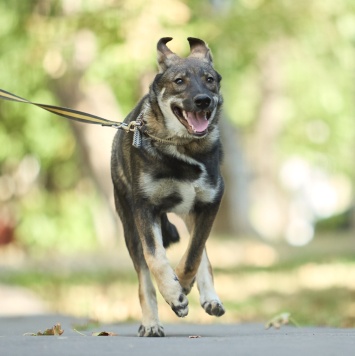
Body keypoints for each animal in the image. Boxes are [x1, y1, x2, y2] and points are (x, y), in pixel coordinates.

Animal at [111, 36, 225, 336]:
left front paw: (183, 284)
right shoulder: (144, 208)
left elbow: (195, 253)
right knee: (144, 278)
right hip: (129, 226)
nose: (202, 100)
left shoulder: (210, 203)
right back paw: (151, 323)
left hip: (191, 212)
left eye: (209, 79)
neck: (183, 148)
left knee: (200, 250)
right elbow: (155, 259)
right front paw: (174, 294)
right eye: (179, 81)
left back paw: (209, 297)